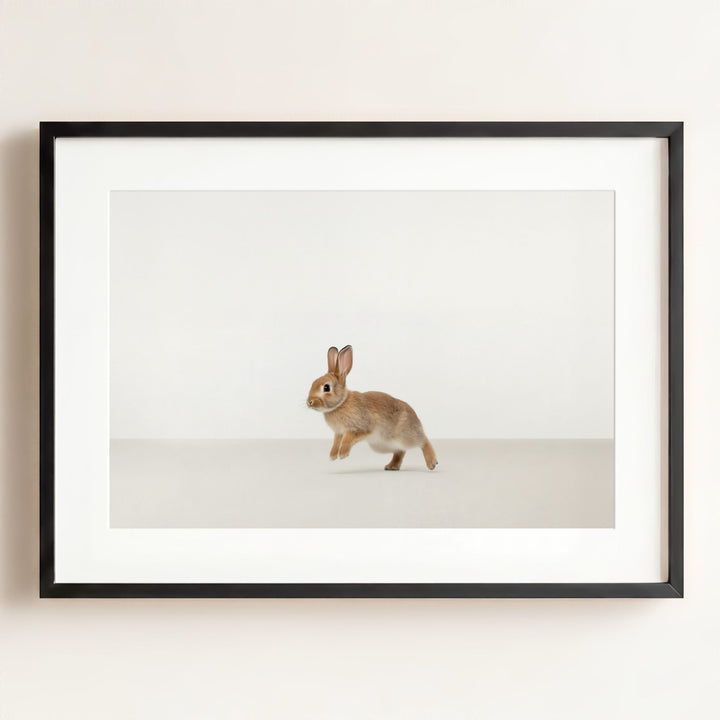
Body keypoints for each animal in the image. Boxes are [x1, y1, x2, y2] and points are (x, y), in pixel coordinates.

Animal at [306, 345, 438, 471]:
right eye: (313, 383)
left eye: (326, 387)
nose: (309, 402)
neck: (341, 403)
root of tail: (416, 418)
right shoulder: (338, 432)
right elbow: (336, 442)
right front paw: (332, 456)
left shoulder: (360, 428)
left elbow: (347, 439)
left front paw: (343, 454)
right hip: (383, 445)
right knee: (400, 450)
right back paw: (392, 466)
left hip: (405, 436)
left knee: (423, 441)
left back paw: (432, 462)